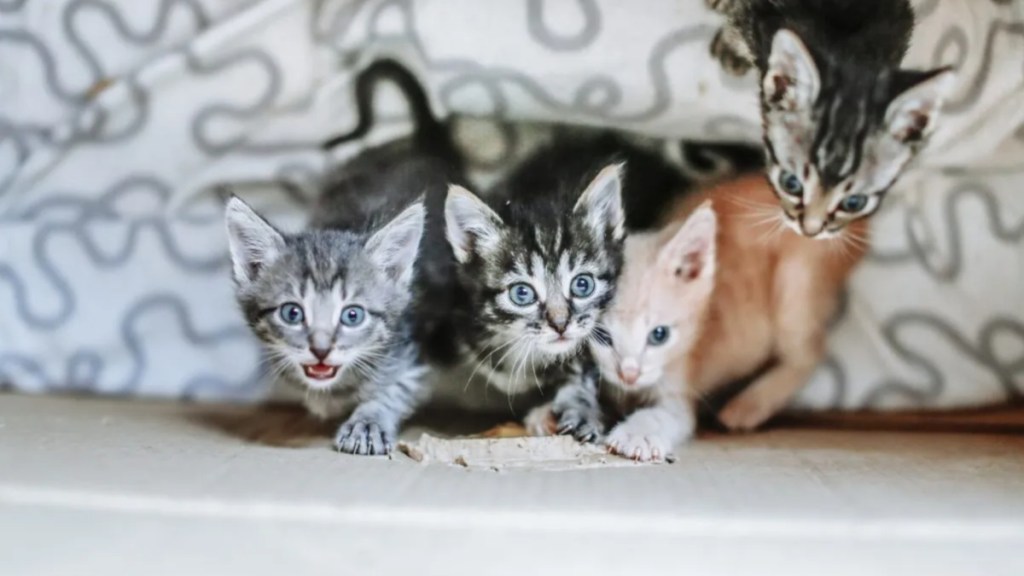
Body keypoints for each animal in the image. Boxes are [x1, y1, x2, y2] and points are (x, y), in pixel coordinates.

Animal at [589, 170, 868, 457]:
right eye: (602, 336)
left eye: (659, 335)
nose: (629, 375)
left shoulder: (679, 390)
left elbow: (664, 415)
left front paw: (636, 435)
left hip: (796, 282)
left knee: (812, 352)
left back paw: (749, 404)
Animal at [708, 0, 954, 236]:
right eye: (791, 183)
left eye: (854, 203)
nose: (810, 231)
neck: (849, 50)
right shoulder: (755, 17)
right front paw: (730, 48)